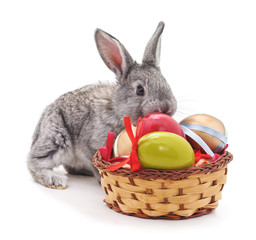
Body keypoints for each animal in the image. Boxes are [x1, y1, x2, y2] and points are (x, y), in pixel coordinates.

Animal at [27, 21, 177, 188]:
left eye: (166, 82)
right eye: (140, 90)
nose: (167, 107)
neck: (118, 110)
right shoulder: (90, 145)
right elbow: (94, 163)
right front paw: (102, 180)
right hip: (56, 138)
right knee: (34, 163)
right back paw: (55, 179)